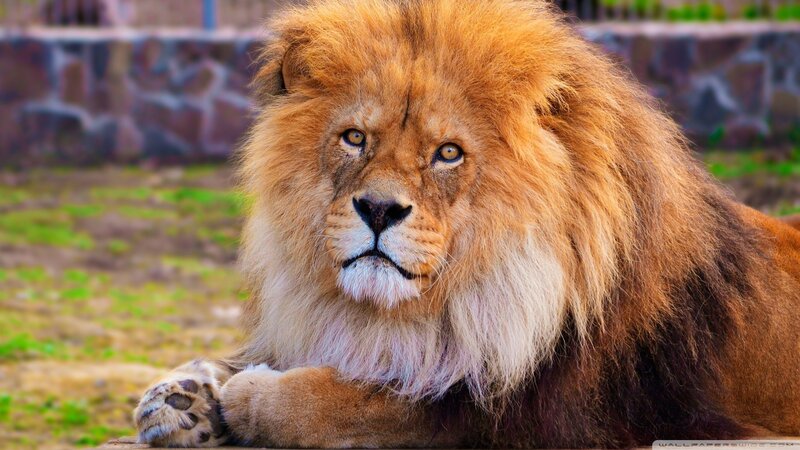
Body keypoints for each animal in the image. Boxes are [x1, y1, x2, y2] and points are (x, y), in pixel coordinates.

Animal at [132, 0, 800, 447]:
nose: (378, 210)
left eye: (447, 153)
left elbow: (350, 402)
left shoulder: (525, 415)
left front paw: (248, 396)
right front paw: (180, 397)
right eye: (355, 139)